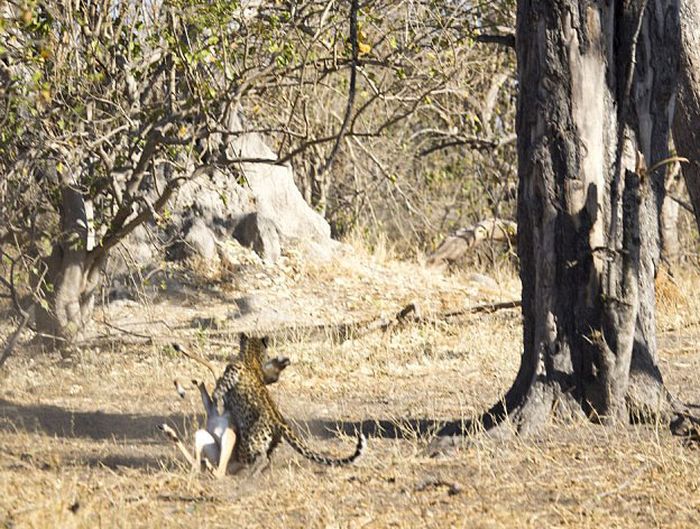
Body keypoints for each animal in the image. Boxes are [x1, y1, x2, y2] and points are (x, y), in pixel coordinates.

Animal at [212, 334, 366, 474]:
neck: (252, 358)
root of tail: (279, 421)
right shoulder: (264, 376)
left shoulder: (233, 371)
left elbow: (221, 386)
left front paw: (215, 397)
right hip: (270, 441)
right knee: (268, 457)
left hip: (250, 441)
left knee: (257, 457)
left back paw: (240, 471)